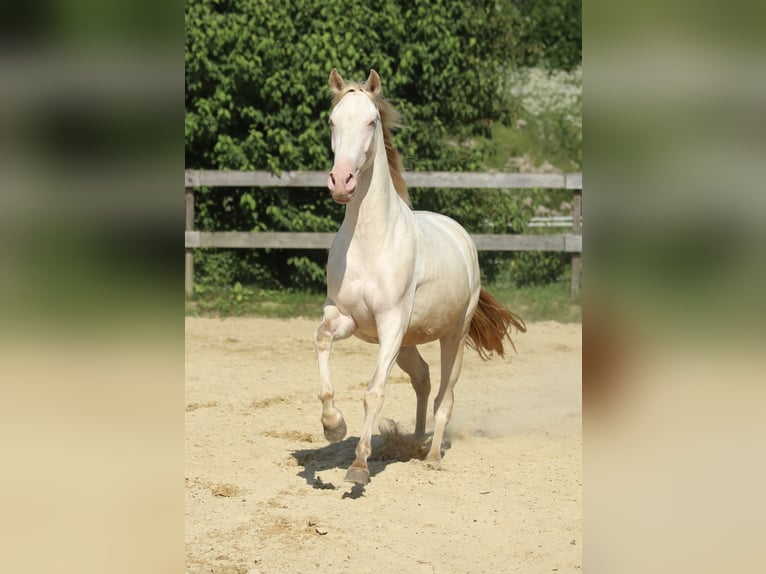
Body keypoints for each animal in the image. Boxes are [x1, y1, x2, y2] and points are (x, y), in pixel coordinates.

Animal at [314, 71, 528, 486]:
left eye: (371, 121)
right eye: (332, 121)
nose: (341, 182)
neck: (370, 240)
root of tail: (461, 236)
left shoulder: (391, 323)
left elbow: (374, 392)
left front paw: (359, 466)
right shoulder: (346, 319)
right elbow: (322, 342)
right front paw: (333, 425)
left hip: (452, 336)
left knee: (445, 395)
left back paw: (431, 456)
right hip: (406, 343)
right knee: (423, 379)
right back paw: (413, 443)